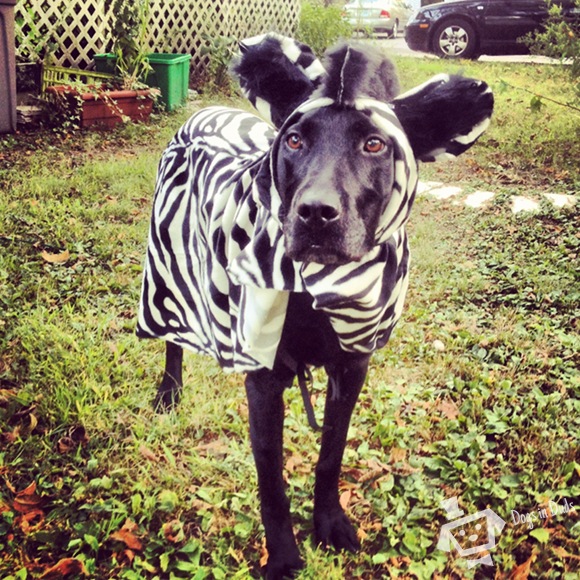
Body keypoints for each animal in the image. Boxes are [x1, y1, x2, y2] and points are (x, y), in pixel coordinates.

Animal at [137, 34, 494, 576]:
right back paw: (169, 392)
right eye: (294, 140)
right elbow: (272, 483)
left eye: (374, 144)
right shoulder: (264, 381)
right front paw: (284, 555)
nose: (315, 213)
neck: (317, 290)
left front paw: (329, 523)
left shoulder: (352, 368)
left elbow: (330, 455)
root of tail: (205, 112)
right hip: (165, 266)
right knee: (172, 336)